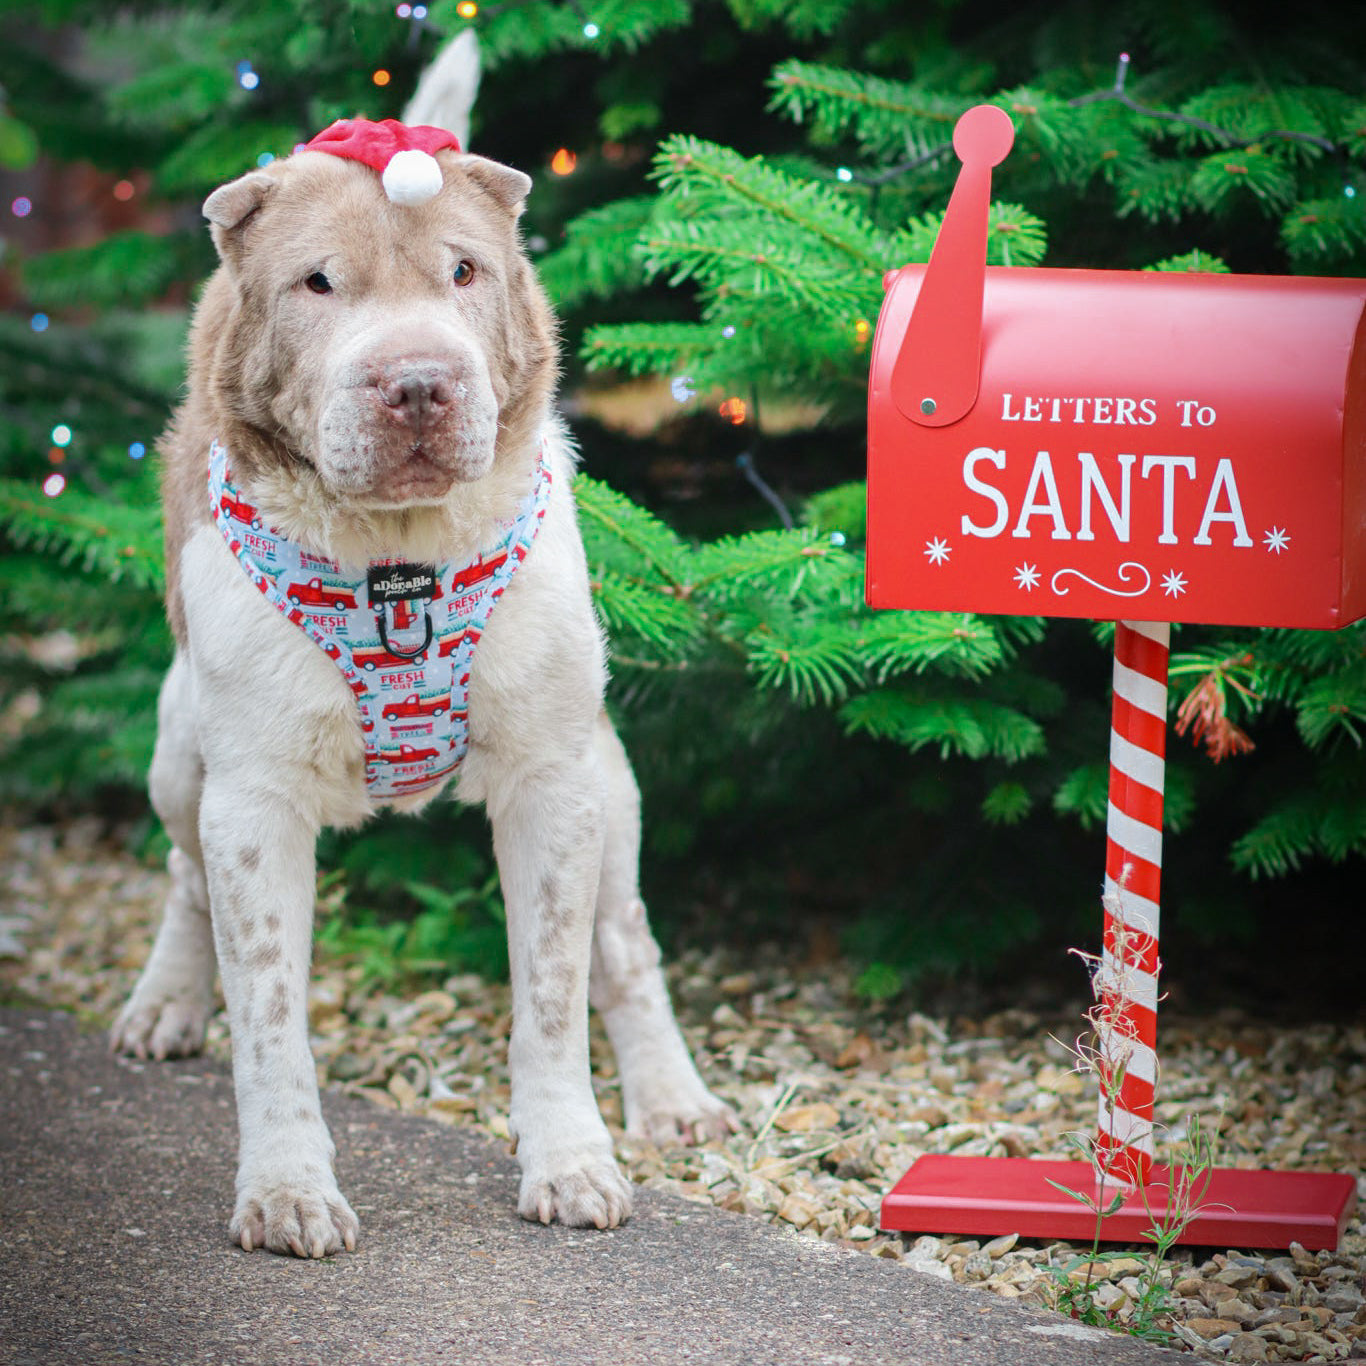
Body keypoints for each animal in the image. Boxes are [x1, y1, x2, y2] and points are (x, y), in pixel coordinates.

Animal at [114, 34, 737, 1256]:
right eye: (316, 283)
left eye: (464, 273)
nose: (417, 383)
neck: (397, 558)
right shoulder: (251, 800)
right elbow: (269, 1014)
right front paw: (287, 1190)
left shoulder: (553, 781)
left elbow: (551, 989)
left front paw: (571, 1159)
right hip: (177, 751)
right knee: (183, 877)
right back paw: (165, 1001)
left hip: (611, 777)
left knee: (625, 940)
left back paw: (672, 1098)